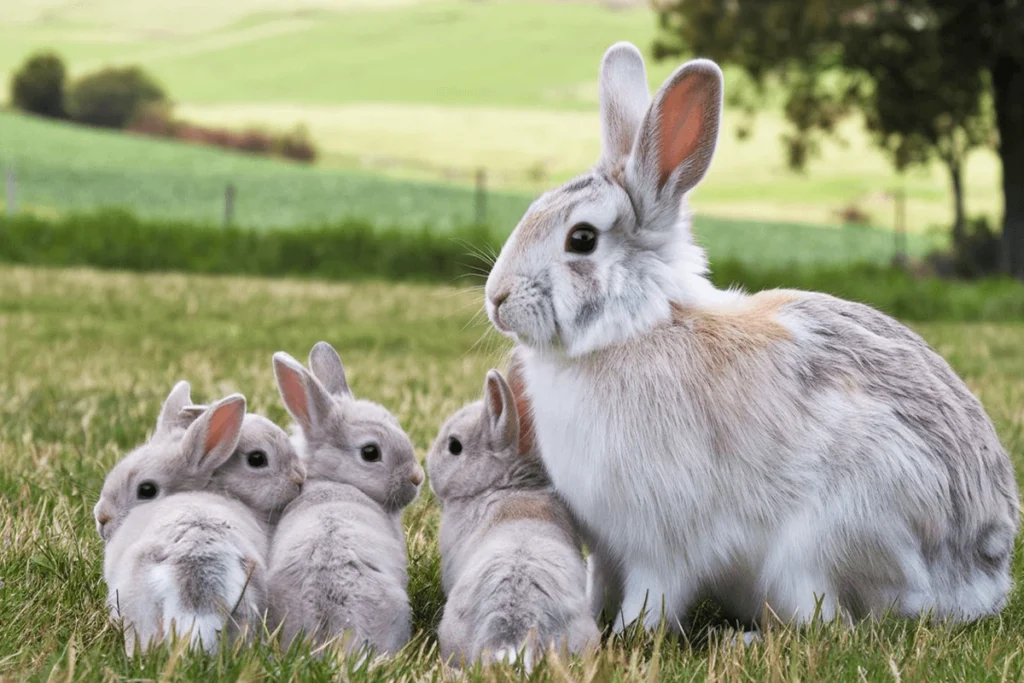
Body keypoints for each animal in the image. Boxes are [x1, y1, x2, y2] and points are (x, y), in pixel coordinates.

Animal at [483, 40, 1019, 634]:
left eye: (581, 239)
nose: (496, 298)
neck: (637, 327)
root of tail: (980, 577)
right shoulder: (605, 543)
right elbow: (600, 579)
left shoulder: (661, 542)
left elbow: (654, 594)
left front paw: (625, 637)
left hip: (822, 547)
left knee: (830, 624)